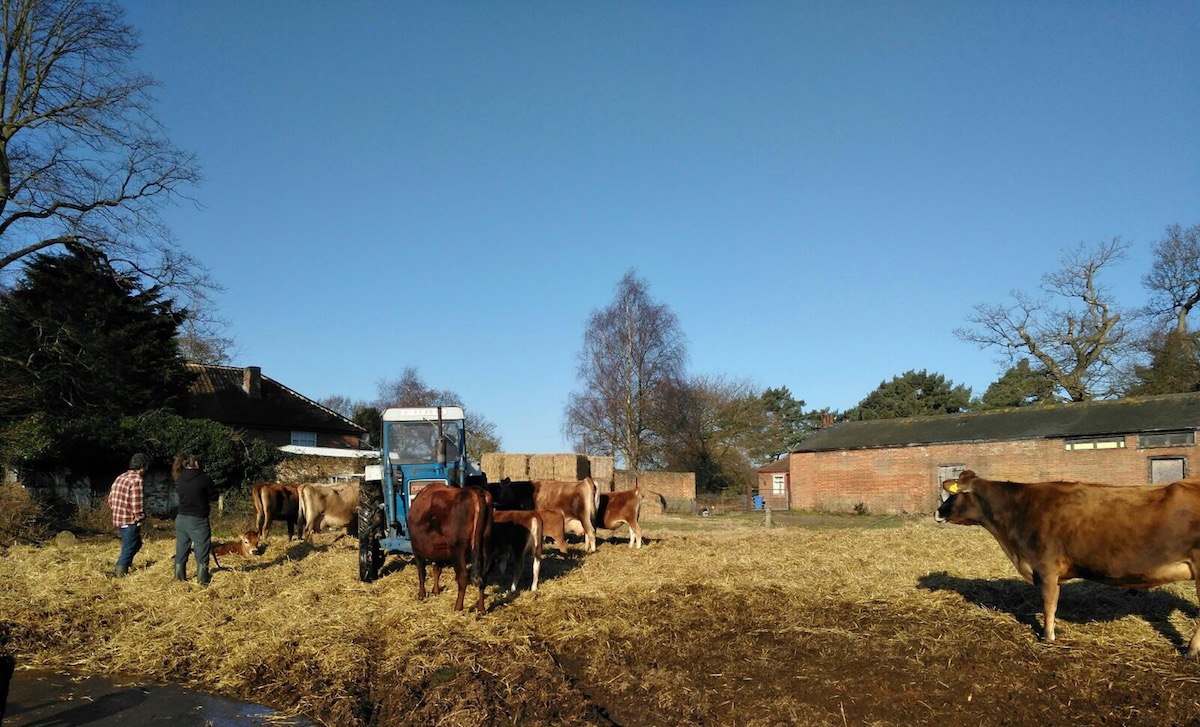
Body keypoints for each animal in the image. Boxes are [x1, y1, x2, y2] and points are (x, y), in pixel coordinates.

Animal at [408, 484, 492, 614]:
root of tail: (474, 490)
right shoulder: (439, 551)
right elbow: (437, 570)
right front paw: (436, 591)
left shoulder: (416, 549)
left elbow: (422, 572)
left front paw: (421, 594)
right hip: (485, 545)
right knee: (483, 577)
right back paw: (481, 609)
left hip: (457, 548)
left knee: (462, 577)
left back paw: (458, 607)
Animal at [936, 470, 1200, 657]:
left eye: (954, 494)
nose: (937, 512)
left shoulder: (1046, 568)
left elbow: (1049, 604)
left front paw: (1048, 636)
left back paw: (1190, 650)